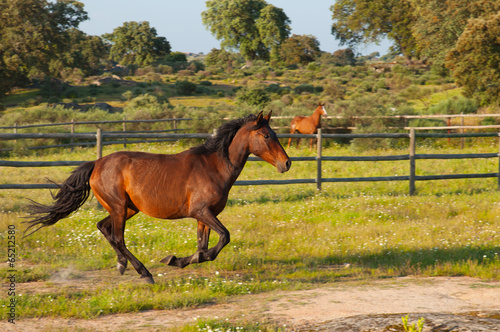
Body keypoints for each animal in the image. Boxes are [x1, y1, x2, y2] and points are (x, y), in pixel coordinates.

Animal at [24, 111, 290, 282]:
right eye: (267, 136)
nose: (286, 163)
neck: (214, 166)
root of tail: (96, 163)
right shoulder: (201, 212)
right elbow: (223, 238)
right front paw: (173, 259)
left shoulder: (204, 216)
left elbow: (203, 248)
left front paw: (179, 259)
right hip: (119, 208)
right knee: (117, 237)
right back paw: (145, 273)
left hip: (128, 209)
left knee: (104, 227)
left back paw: (122, 265)